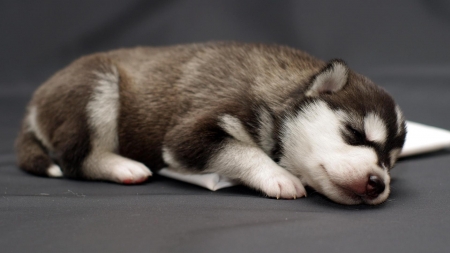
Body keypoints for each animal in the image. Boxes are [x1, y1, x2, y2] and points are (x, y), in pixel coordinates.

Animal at [14, 41, 408, 204]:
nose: (378, 183)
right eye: (354, 133)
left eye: (390, 164)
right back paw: (123, 166)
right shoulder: (188, 136)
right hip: (96, 88)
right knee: (76, 158)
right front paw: (278, 175)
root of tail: (33, 101)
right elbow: (244, 151)